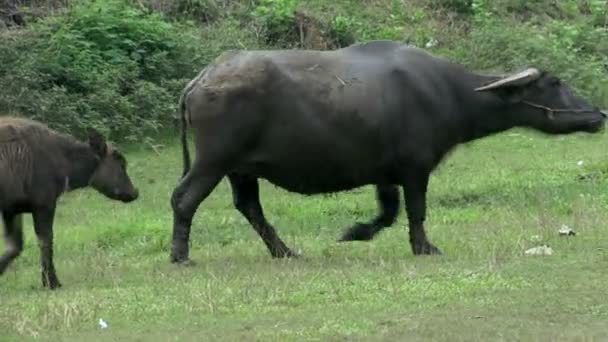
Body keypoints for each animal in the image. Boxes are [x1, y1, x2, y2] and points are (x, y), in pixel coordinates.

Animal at [0, 116, 139, 288]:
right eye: (121, 163)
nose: (134, 192)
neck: (63, 160)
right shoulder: (44, 205)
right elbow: (46, 241)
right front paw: (52, 282)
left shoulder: (11, 210)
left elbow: (15, 246)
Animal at [169, 40, 604, 264]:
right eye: (555, 83)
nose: (598, 114)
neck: (448, 93)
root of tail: (201, 80)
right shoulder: (415, 168)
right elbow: (415, 210)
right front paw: (425, 248)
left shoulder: (384, 173)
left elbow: (388, 212)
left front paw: (355, 232)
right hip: (213, 161)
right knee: (184, 199)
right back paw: (181, 255)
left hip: (241, 169)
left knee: (249, 207)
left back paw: (286, 251)